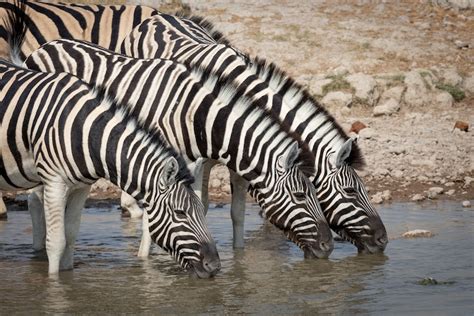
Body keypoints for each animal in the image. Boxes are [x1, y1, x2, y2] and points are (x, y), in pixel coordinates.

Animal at [0, 59, 218, 276]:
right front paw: (54, 283)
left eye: (202, 210)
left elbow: (70, 237)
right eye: (180, 213)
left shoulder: (81, 187)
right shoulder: (55, 182)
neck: (86, 133)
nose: (214, 265)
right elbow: (56, 242)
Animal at [118, 14, 388, 254]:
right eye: (351, 191)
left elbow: (237, 213)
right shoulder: (197, 161)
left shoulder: (242, 159)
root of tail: (158, 17)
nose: (383, 240)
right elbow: (196, 205)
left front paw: (239, 261)